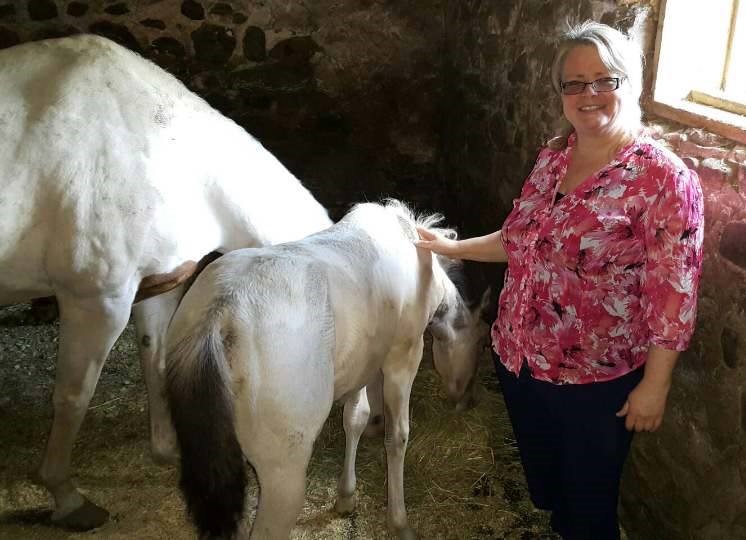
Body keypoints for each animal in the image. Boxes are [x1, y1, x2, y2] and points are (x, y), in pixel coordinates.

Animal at [0, 34, 332, 529]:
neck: (165, 149)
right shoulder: (96, 302)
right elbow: (73, 397)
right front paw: (66, 496)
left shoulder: (157, 287)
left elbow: (155, 362)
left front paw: (166, 450)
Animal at [165, 200, 487, 540]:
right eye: (482, 343)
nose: (468, 399)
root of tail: (222, 312)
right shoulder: (403, 359)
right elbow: (397, 436)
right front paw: (399, 521)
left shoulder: (361, 365)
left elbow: (355, 419)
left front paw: (346, 496)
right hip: (283, 478)